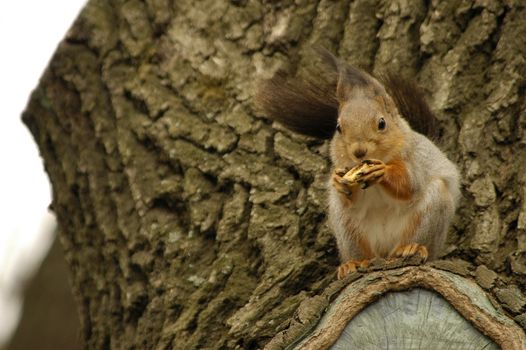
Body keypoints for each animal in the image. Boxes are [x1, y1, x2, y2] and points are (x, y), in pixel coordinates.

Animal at [256, 48, 462, 278]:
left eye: (382, 123)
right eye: (338, 128)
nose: (359, 151)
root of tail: (385, 249)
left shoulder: (415, 159)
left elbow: (410, 184)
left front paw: (383, 172)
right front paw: (338, 182)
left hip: (432, 210)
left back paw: (411, 247)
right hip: (347, 226)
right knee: (362, 250)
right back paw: (353, 263)